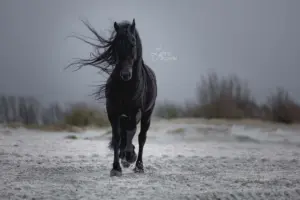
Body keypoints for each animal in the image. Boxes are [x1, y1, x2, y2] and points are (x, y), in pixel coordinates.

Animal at [67, 19, 157, 177]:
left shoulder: (135, 111)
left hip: (147, 114)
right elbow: (116, 137)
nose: (126, 74)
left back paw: (138, 165)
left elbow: (131, 132)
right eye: (116, 45)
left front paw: (129, 156)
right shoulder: (113, 111)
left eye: (132, 43)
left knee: (141, 137)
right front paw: (116, 167)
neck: (126, 87)